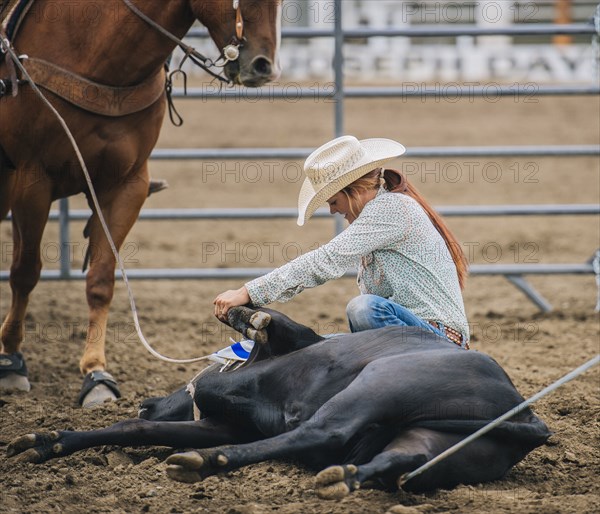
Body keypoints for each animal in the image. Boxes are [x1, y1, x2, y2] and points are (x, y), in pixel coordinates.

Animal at [0, 1, 282, 404]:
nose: (263, 66)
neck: (99, 59)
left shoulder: (127, 186)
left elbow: (101, 280)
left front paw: (96, 374)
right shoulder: (32, 180)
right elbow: (25, 273)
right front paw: (12, 361)